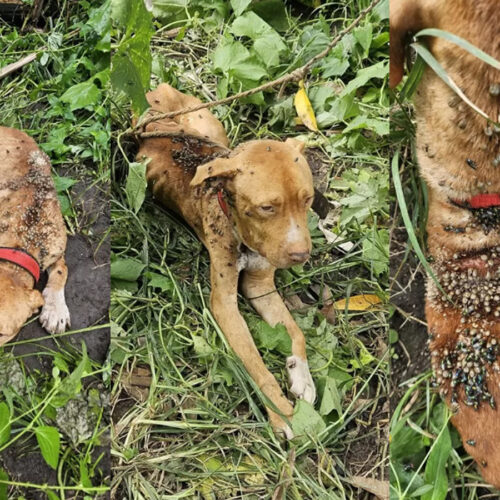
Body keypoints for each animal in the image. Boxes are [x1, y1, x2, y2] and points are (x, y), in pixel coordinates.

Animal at [137, 83, 316, 438]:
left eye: (308, 199)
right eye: (267, 207)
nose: (301, 255)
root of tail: (158, 93)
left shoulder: (261, 286)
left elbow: (295, 331)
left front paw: (301, 373)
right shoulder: (224, 305)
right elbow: (256, 364)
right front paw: (283, 413)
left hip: (212, 129)